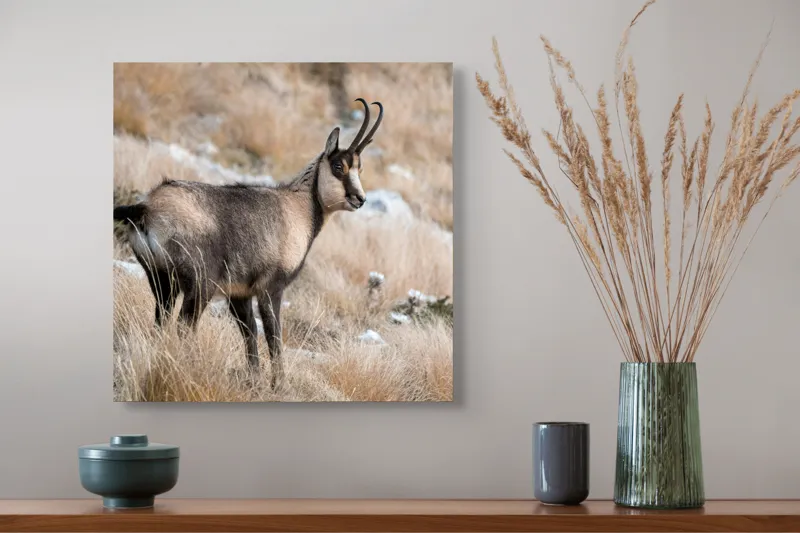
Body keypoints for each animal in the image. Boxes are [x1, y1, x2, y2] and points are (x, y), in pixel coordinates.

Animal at [113, 98, 384, 390]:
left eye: (359, 168)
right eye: (338, 167)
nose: (360, 199)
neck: (299, 208)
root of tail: (146, 207)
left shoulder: (239, 293)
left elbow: (249, 331)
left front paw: (255, 378)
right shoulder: (271, 287)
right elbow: (274, 335)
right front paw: (279, 384)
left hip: (160, 280)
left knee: (161, 322)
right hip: (200, 284)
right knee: (185, 326)